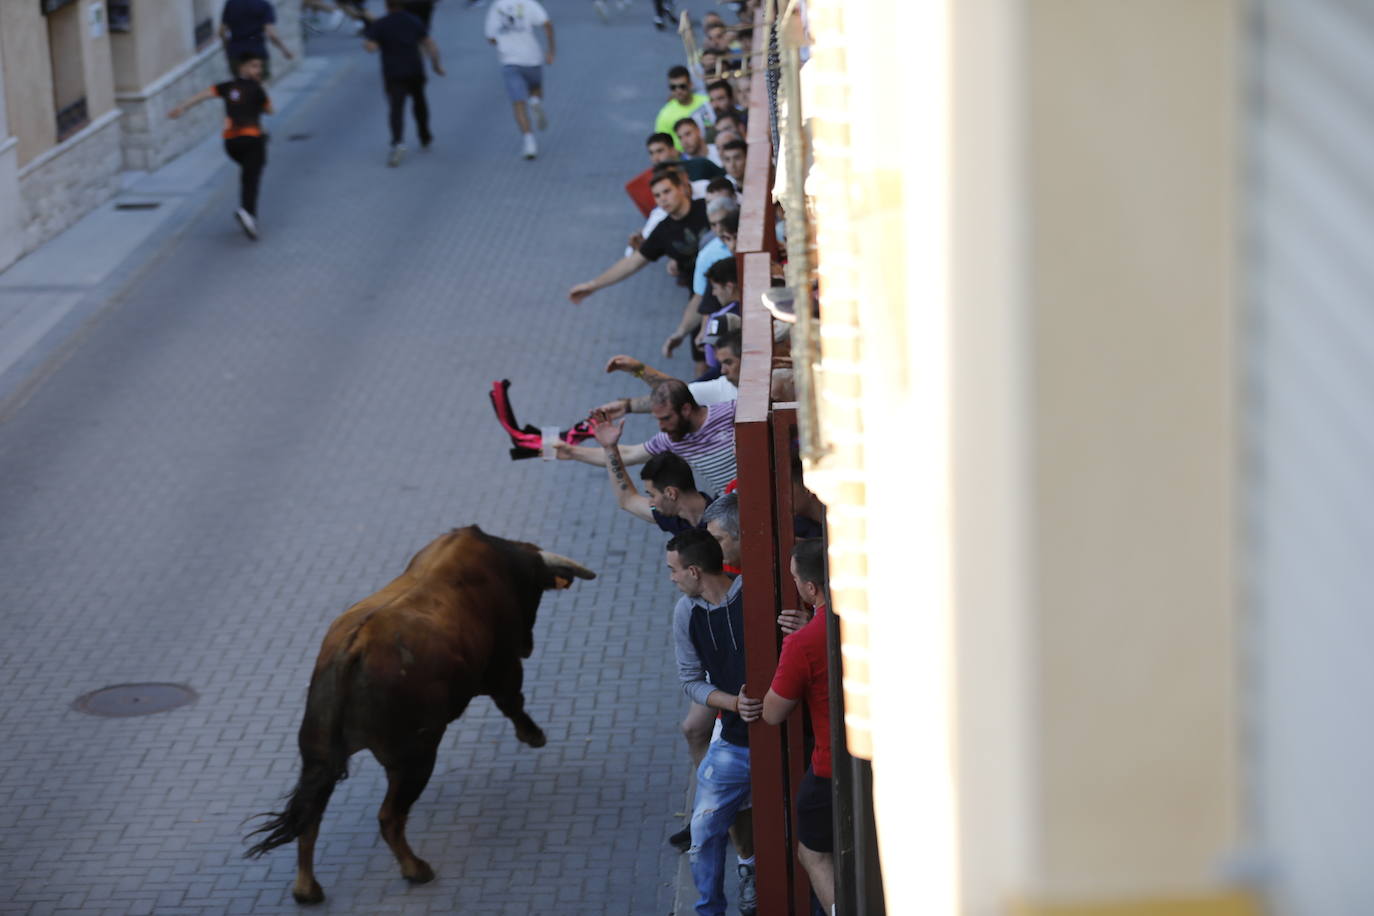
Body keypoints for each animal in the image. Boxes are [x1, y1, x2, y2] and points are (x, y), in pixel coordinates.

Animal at [243, 521, 596, 900]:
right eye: (534, 590)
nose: (528, 645)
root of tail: (354, 650)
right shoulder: (503, 665)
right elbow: (512, 700)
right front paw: (532, 735)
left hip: (318, 757)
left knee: (310, 817)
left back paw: (307, 889)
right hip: (414, 759)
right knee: (390, 818)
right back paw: (416, 869)